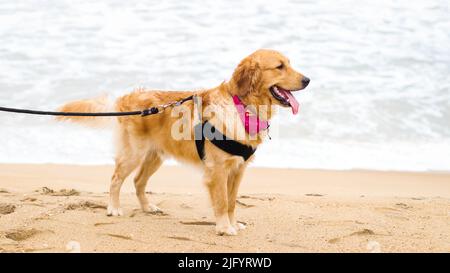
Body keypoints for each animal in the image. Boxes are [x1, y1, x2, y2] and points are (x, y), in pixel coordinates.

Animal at [59, 48, 310, 234]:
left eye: (289, 63)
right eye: (279, 66)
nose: (307, 79)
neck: (242, 106)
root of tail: (126, 98)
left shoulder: (238, 169)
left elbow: (231, 201)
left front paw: (232, 223)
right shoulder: (217, 170)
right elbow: (221, 201)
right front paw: (223, 228)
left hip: (155, 156)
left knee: (139, 181)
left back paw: (148, 207)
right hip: (134, 154)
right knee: (115, 179)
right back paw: (113, 208)